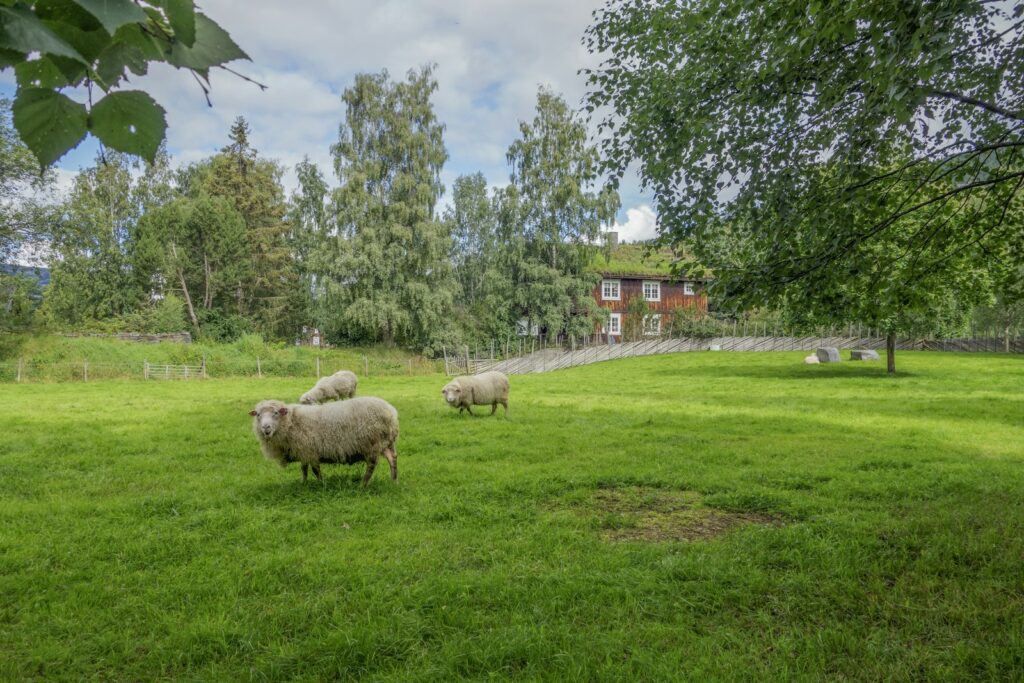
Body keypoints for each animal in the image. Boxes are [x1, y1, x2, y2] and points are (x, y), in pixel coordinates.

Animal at [249, 395, 401, 485]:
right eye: (258, 415)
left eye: (275, 413)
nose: (265, 427)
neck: (291, 421)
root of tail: (391, 411)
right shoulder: (304, 451)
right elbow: (304, 469)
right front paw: (303, 483)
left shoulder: (309, 450)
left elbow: (314, 470)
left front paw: (321, 484)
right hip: (387, 442)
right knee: (392, 458)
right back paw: (393, 480)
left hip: (372, 443)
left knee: (371, 465)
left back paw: (363, 484)